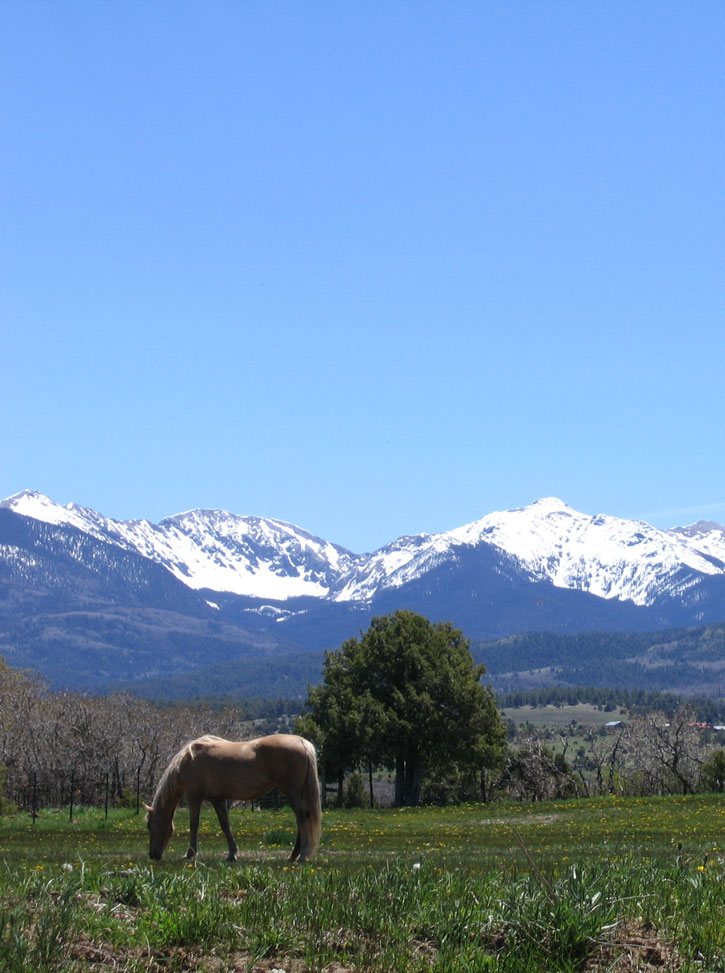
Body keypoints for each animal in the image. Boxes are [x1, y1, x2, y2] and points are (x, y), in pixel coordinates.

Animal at [144, 732, 320, 860]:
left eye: (149, 825)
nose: (152, 855)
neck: (188, 761)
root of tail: (302, 742)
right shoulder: (217, 799)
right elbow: (225, 825)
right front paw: (232, 854)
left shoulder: (194, 797)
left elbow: (194, 824)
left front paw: (190, 853)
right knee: (301, 819)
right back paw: (293, 856)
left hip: (291, 792)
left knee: (302, 817)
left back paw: (302, 855)